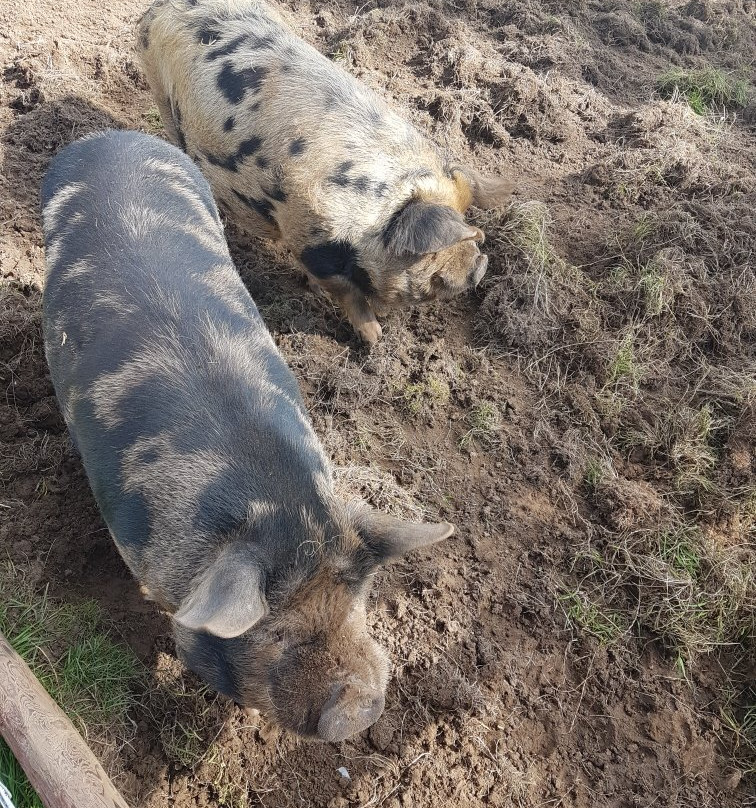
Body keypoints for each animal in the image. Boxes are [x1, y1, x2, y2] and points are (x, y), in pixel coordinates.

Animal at [137, 0, 512, 340]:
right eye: (428, 253)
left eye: (465, 218)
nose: (480, 265)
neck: (375, 221)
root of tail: (156, 9)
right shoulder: (309, 239)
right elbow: (347, 293)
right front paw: (374, 338)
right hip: (161, 95)